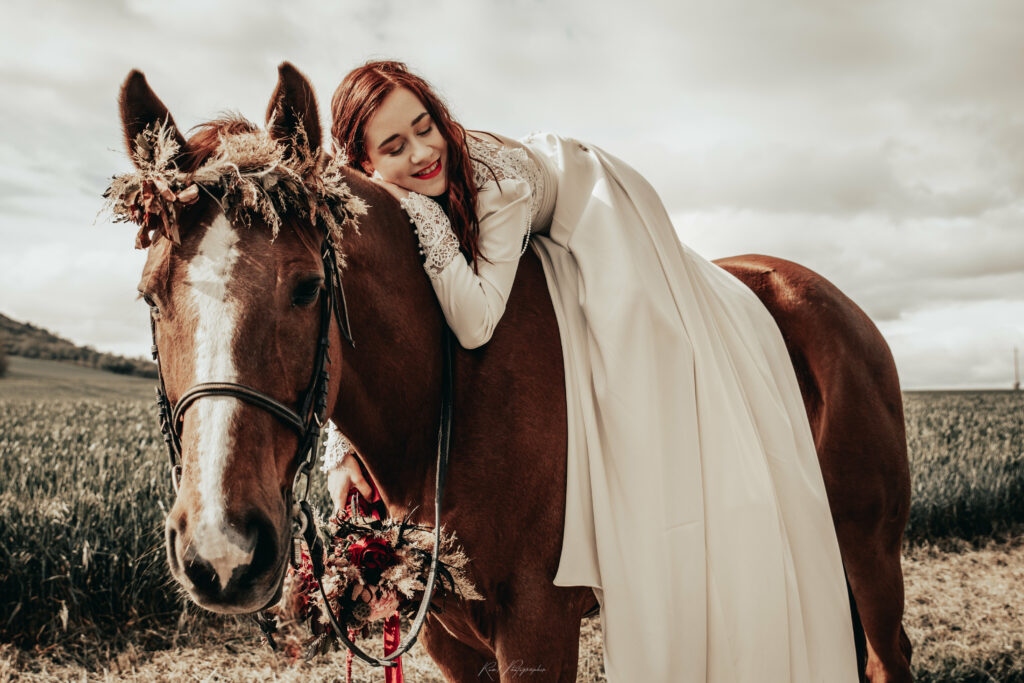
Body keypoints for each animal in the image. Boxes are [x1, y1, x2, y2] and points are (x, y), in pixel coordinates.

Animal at [119, 61, 913, 679]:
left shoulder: (537, 624)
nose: (222, 550)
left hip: (868, 550)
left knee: (886, 655)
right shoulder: (446, 631)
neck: (448, 392)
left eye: (309, 286)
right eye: (151, 294)